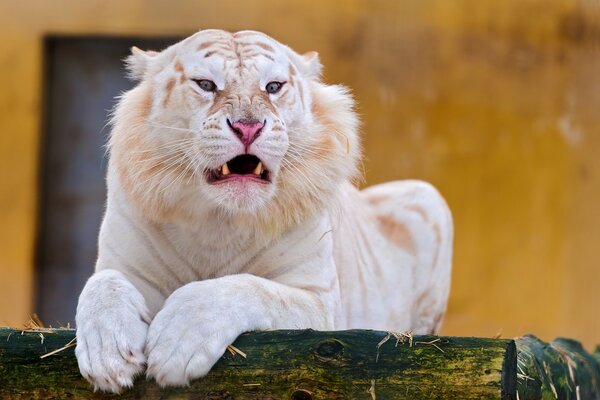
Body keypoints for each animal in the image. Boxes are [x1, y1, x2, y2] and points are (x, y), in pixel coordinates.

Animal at [74, 29, 450, 392]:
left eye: (273, 87)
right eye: (206, 84)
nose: (248, 127)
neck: (218, 221)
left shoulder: (319, 302)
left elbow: (249, 288)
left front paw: (176, 343)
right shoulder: (125, 265)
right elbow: (102, 284)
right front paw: (107, 355)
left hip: (427, 196)